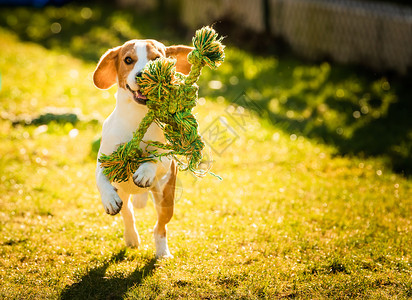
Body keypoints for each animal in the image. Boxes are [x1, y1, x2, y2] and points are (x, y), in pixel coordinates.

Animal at [94, 38, 194, 256]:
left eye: (156, 58)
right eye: (128, 59)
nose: (142, 76)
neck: (137, 117)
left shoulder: (167, 159)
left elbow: (154, 159)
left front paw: (145, 171)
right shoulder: (105, 160)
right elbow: (101, 179)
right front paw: (108, 198)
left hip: (166, 198)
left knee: (160, 227)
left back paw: (162, 252)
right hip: (124, 194)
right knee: (128, 213)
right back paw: (131, 237)